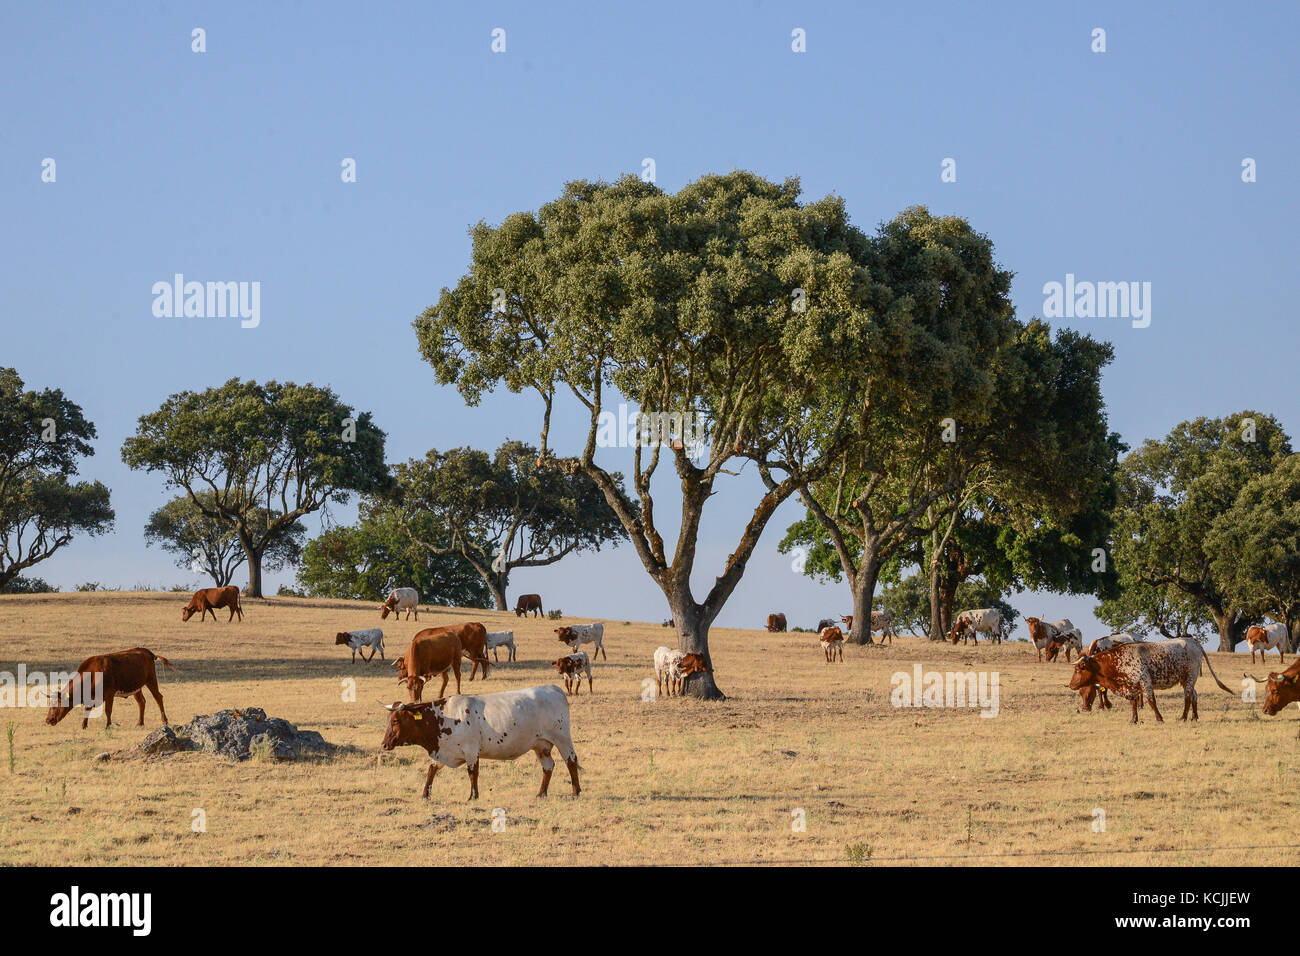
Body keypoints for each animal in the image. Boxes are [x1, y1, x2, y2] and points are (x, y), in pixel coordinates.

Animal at [44, 650, 174, 733]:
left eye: (55, 705)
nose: (48, 720)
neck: (92, 674)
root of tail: (147, 652)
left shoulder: (109, 694)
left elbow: (108, 710)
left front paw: (107, 726)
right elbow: (87, 710)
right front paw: (84, 725)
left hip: (151, 680)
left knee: (158, 697)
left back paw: (164, 720)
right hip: (136, 688)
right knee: (141, 702)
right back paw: (140, 723)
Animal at [377, 686, 579, 801]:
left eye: (396, 721)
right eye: (388, 720)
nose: (384, 745)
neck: (443, 716)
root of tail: (554, 689)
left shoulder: (471, 751)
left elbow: (472, 773)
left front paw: (473, 796)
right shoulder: (443, 751)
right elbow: (431, 770)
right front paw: (425, 795)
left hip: (562, 738)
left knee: (571, 761)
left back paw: (575, 792)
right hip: (541, 745)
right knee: (548, 766)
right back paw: (541, 794)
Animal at [1071, 639, 1232, 723]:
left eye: (1079, 669)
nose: (1071, 685)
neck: (1118, 661)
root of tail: (1193, 641)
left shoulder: (1145, 682)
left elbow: (1151, 701)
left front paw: (1159, 718)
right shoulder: (1132, 686)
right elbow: (1133, 703)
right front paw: (1134, 720)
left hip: (1190, 676)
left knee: (1187, 697)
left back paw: (1183, 717)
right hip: (1185, 679)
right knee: (1194, 695)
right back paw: (1194, 717)